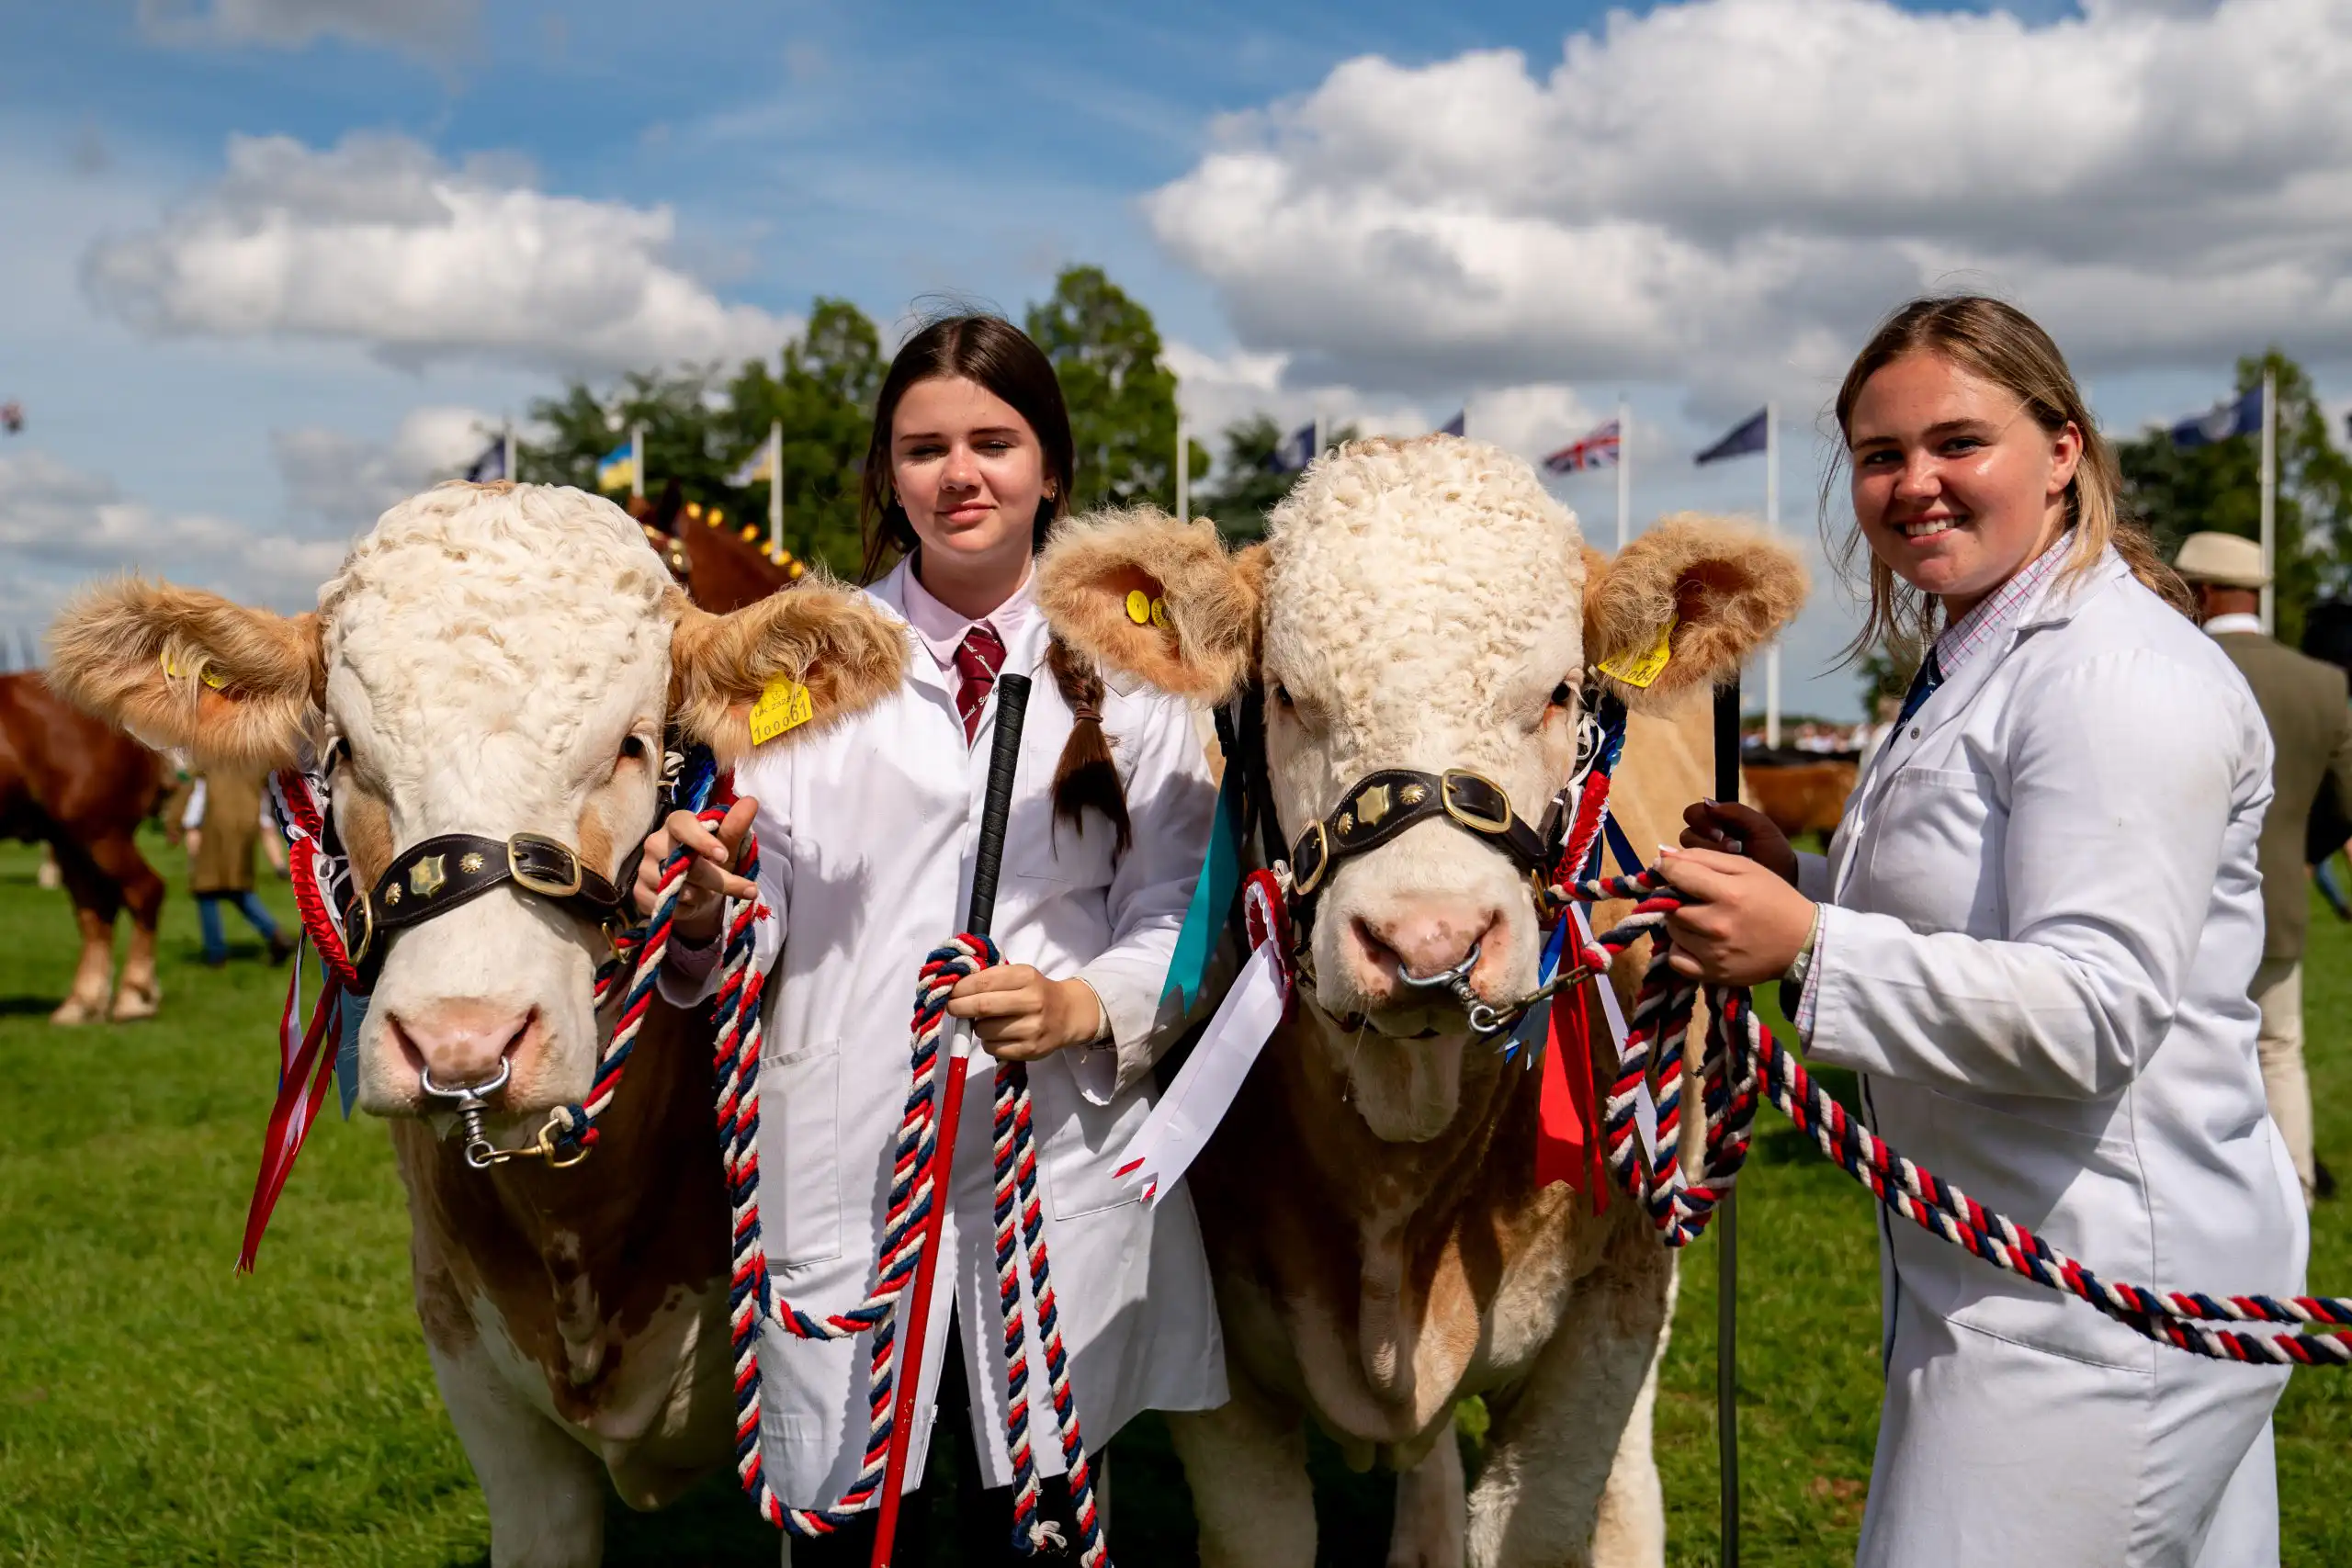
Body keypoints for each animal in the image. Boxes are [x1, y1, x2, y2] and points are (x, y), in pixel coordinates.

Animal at [0, 671, 169, 1023]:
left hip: (100, 833)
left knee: (145, 891)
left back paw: (134, 997)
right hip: (70, 843)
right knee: (95, 911)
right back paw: (83, 1003)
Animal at [1036, 436, 1803, 1568]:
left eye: (1559, 693)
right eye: (1287, 695)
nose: (1427, 942)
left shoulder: (1609, 1311)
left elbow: (1542, 1523)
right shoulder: (1218, 1367)